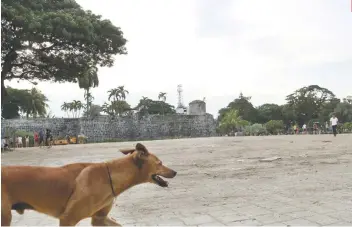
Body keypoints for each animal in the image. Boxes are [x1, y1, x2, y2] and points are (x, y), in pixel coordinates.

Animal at [0, 142, 176, 225]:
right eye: (160, 163)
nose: (175, 172)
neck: (109, 175)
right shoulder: (67, 219)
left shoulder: (99, 219)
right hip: (5, 216)